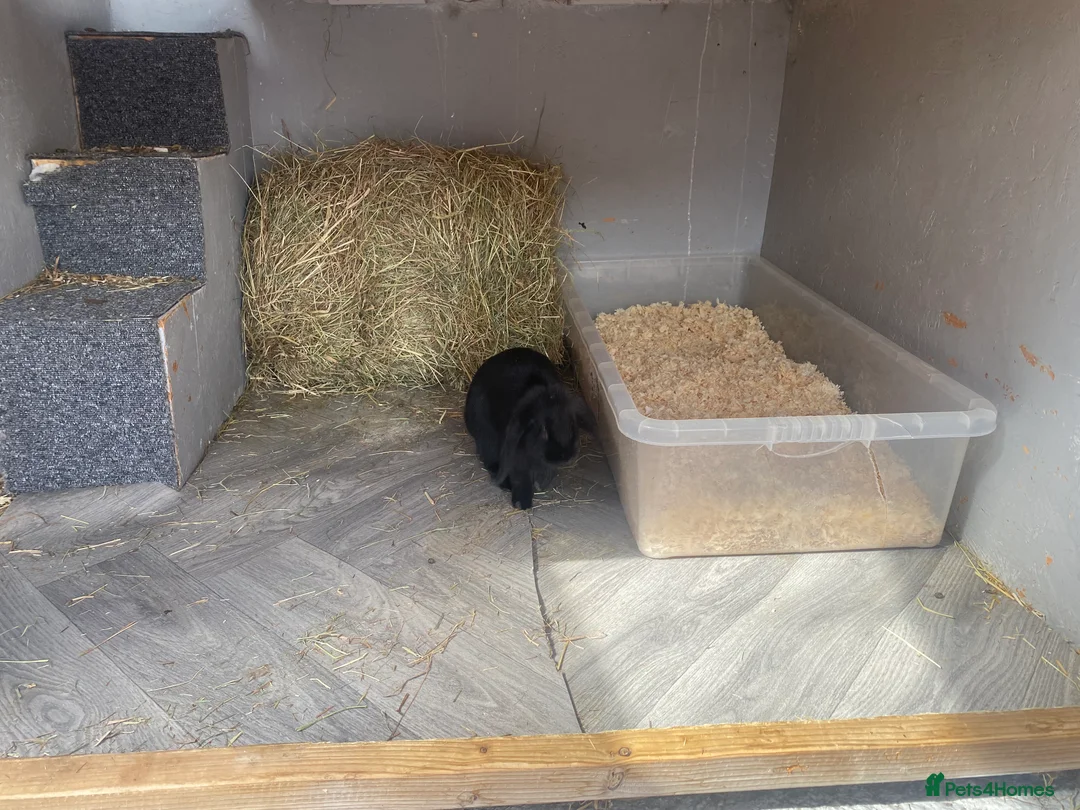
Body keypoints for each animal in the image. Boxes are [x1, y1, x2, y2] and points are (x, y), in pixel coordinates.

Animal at [465, 347, 596, 511]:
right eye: (543, 429)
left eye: (572, 423)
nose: (565, 456)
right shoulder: (516, 454)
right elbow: (521, 475)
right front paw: (522, 503)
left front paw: (541, 483)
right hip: (486, 437)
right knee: (490, 460)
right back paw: (505, 485)